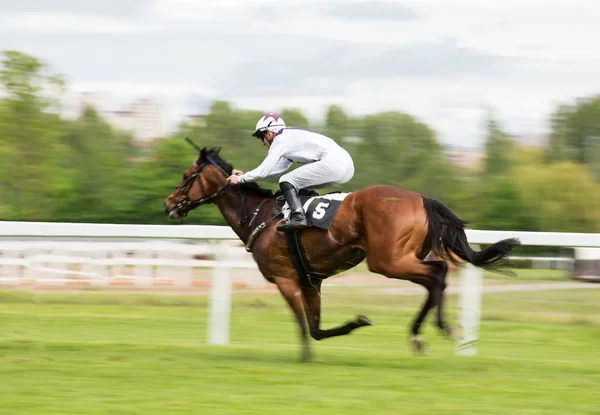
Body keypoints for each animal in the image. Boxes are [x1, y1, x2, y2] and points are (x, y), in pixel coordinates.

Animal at [164, 145, 520, 362]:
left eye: (187, 176)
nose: (169, 203)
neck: (258, 214)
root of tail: (421, 198)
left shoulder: (285, 278)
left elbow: (305, 326)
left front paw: (306, 357)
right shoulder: (312, 281)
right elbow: (317, 328)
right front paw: (356, 322)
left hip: (386, 261)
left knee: (438, 274)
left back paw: (437, 329)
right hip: (402, 257)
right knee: (436, 278)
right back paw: (424, 333)